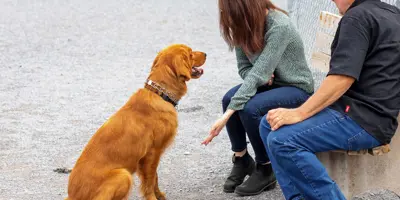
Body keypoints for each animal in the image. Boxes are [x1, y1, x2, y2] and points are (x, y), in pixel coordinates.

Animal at [65, 44, 206, 200]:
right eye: (190, 53)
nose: (206, 54)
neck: (160, 94)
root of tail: (72, 195)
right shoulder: (153, 152)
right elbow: (150, 181)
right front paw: (152, 197)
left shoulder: (146, 157)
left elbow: (155, 178)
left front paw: (159, 194)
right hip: (123, 175)